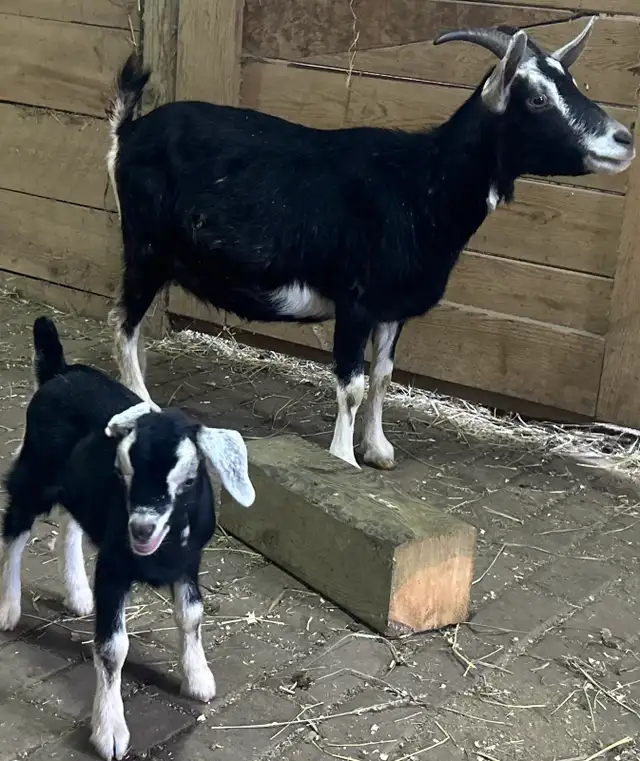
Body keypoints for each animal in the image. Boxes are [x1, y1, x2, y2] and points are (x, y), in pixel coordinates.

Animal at [0, 316, 255, 760]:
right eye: (123, 473)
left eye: (189, 480)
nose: (140, 529)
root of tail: (58, 371)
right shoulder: (113, 568)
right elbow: (112, 647)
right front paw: (110, 731)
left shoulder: (189, 562)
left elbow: (191, 616)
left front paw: (198, 678)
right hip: (35, 471)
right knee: (15, 526)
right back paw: (9, 607)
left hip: (76, 487)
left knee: (69, 522)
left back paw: (77, 594)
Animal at [106, 18, 635, 471]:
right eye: (539, 98)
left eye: (573, 83)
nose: (624, 139)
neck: (418, 186)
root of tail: (128, 130)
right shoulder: (355, 301)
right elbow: (352, 384)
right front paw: (343, 458)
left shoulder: (392, 307)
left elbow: (383, 377)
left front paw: (378, 449)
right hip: (146, 248)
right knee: (123, 324)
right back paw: (143, 404)